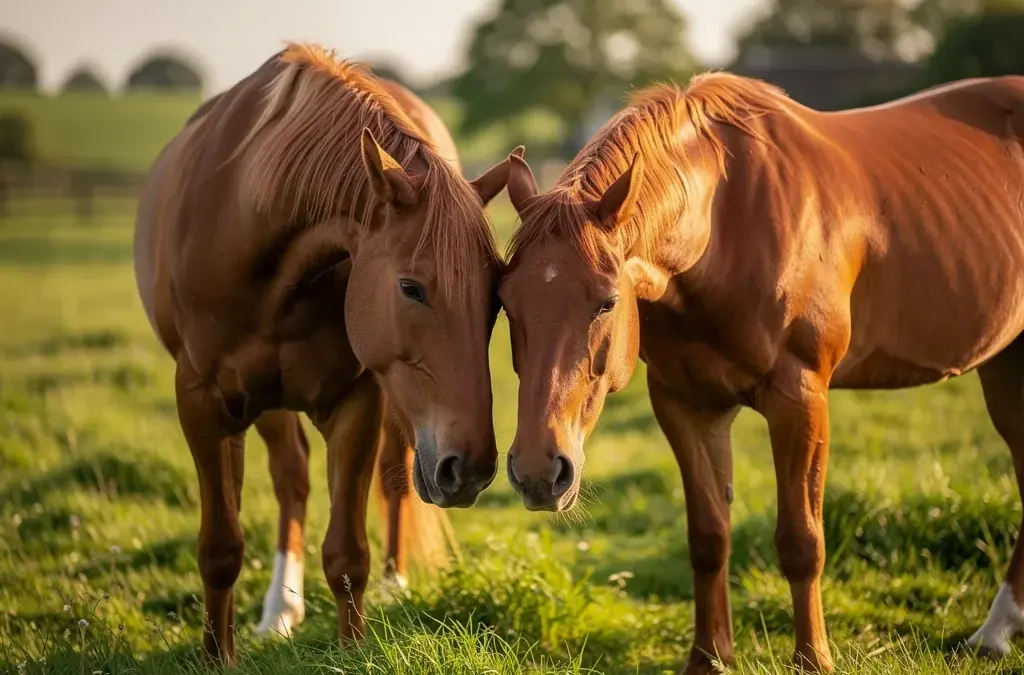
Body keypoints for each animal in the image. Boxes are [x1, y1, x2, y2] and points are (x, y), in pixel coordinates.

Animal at [133, 43, 516, 663]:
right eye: (411, 288)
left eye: (495, 297)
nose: (473, 469)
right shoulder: (202, 401)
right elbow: (221, 545)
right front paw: (217, 655)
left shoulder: (356, 399)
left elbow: (346, 553)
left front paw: (352, 651)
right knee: (290, 477)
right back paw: (278, 612)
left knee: (391, 473)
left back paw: (391, 583)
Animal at [497, 73, 1024, 673]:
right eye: (505, 302)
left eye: (607, 302)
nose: (539, 472)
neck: (724, 227)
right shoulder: (686, 405)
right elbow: (708, 536)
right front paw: (707, 658)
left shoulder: (800, 399)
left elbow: (801, 540)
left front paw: (813, 660)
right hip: (1004, 363)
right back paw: (996, 632)